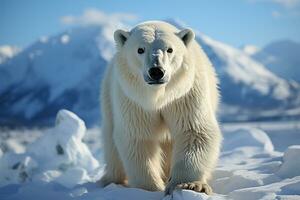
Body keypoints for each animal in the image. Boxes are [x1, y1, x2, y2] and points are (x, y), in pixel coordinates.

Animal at [99, 21, 223, 195]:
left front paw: (189, 185)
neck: (159, 97)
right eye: (140, 49)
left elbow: (194, 131)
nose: (156, 71)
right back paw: (110, 180)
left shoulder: (184, 95)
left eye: (169, 49)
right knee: (112, 148)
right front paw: (151, 188)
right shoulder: (134, 100)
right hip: (108, 102)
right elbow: (139, 138)